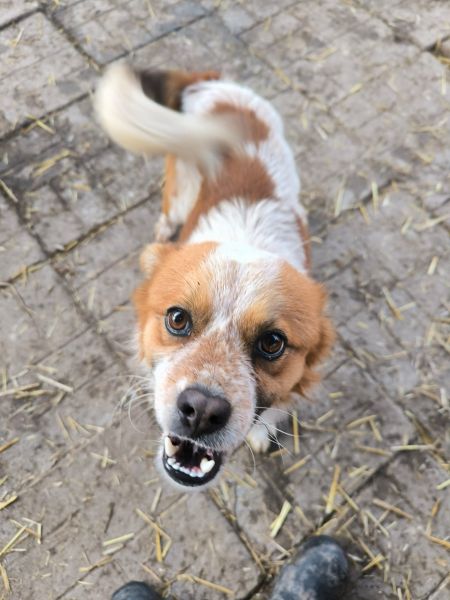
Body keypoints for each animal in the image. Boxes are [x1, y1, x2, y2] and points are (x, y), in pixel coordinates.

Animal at [95, 64, 334, 489]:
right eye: (177, 319)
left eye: (273, 342)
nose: (202, 410)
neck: (245, 236)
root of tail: (209, 81)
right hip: (178, 185)